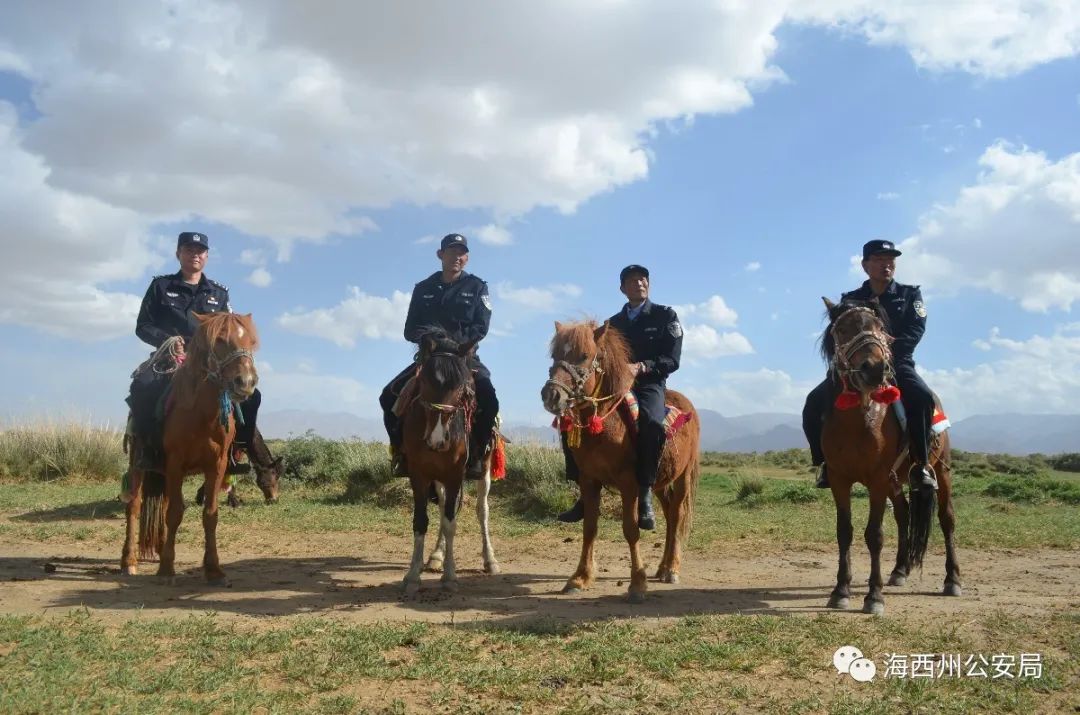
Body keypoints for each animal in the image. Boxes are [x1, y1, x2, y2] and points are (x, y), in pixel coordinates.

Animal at [119, 311, 259, 587]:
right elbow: (174, 513)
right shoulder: (176, 463)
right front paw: (166, 569)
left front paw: (214, 570)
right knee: (135, 506)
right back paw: (129, 561)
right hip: (140, 464)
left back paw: (160, 548)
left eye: (251, 341)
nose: (246, 382)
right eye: (220, 340)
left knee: (161, 506)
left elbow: (210, 514)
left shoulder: (216, 466)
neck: (200, 412)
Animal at [540, 319, 699, 604]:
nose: (551, 395)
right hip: (659, 483)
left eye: (584, 355)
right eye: (555, 355)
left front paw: (637, 584)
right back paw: (662, 567)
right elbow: (589, 528)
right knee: (670, 514)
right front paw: (580, 578)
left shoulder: (629, 485)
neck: (606, 425)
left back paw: (672, 568)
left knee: (677, 514)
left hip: (683, 477)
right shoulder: (589, 481)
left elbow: (630, 529)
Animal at [816, 300, 963, 617]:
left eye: (880, 327)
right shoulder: (839, 479)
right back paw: (899, 570)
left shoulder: (878, 480)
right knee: (904, 514)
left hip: (940, 471)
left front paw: (873, 596)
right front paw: (841, 590)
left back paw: (953, 580)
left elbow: (875, 535)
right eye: (842, 329)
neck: (860, 419)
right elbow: (844, 532)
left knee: (947, 519)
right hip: (897, 480)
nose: (874, 368)